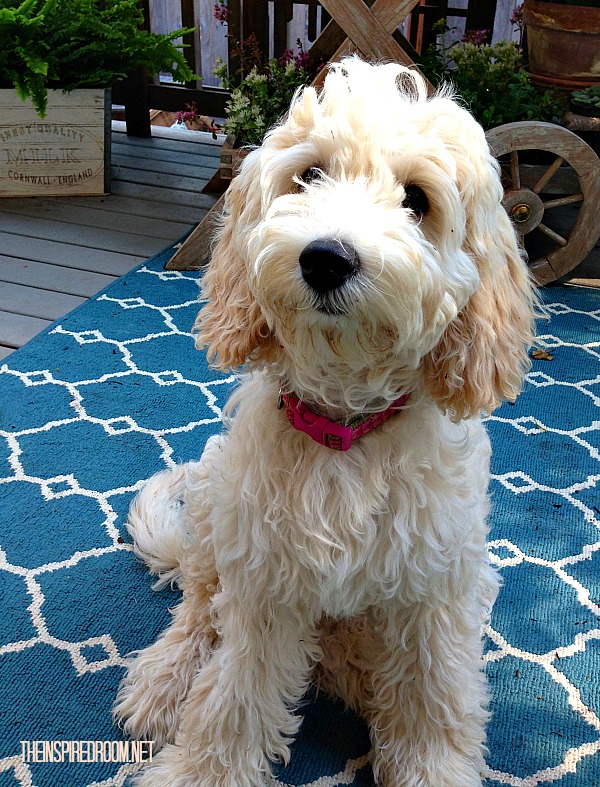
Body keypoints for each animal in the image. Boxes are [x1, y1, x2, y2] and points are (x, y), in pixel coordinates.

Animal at [115, 60, 536, 787]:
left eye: (417, 199)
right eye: (309, 175)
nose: (327, 258)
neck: (346, 430)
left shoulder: (435, 584)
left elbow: (433, 691)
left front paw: (428, 763)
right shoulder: (264, 582)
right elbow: (234, 690)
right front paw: (202, 771)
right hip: (218, 501)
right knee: (198, 607)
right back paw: (163, 682)